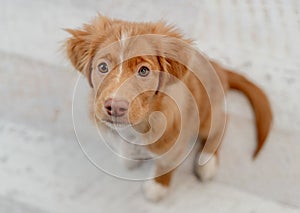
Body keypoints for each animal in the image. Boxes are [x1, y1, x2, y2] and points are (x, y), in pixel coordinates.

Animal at [64, 14, 274, 201]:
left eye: (144, 71)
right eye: (103, 67)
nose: (115, 107)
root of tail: (219, 68)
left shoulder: (177, 143)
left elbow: (166, 165)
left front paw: (158, 186)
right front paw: (130, 158)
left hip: (208, 115)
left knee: (221, 124)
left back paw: (207, 162)